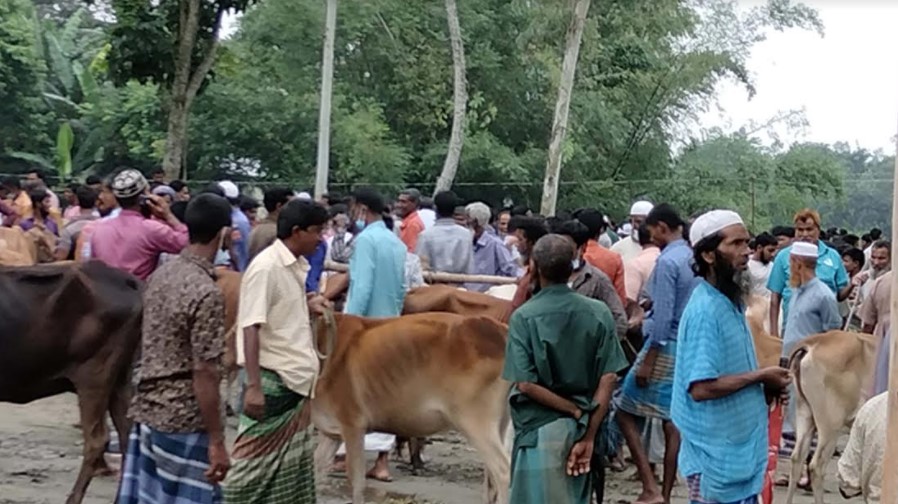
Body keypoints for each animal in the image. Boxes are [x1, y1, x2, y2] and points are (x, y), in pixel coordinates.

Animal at [312, 312, 512, 504]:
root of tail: (499, 330)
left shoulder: (352, 424)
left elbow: (357, 482)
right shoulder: (331, 432)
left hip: (473, 420)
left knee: (502, 470)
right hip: (500, 423)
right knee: (490, 477)